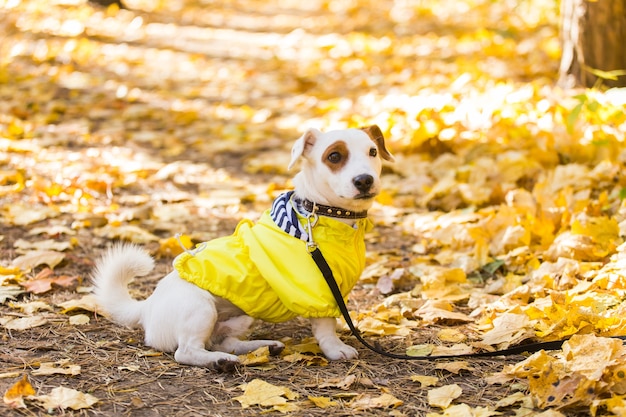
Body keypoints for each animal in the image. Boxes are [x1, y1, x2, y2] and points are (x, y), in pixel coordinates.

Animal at [90, 125, 392, 368]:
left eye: (372, 152)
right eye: (334, 156)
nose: (364, 180)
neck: (326, 215)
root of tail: (147, 306)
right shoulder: (318, 292)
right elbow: (326, 326)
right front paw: (336, 348)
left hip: (242, 317)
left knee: (224, 341)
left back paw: (261, 347)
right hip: (200, 308)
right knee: (187, 351)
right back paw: (219, 362)